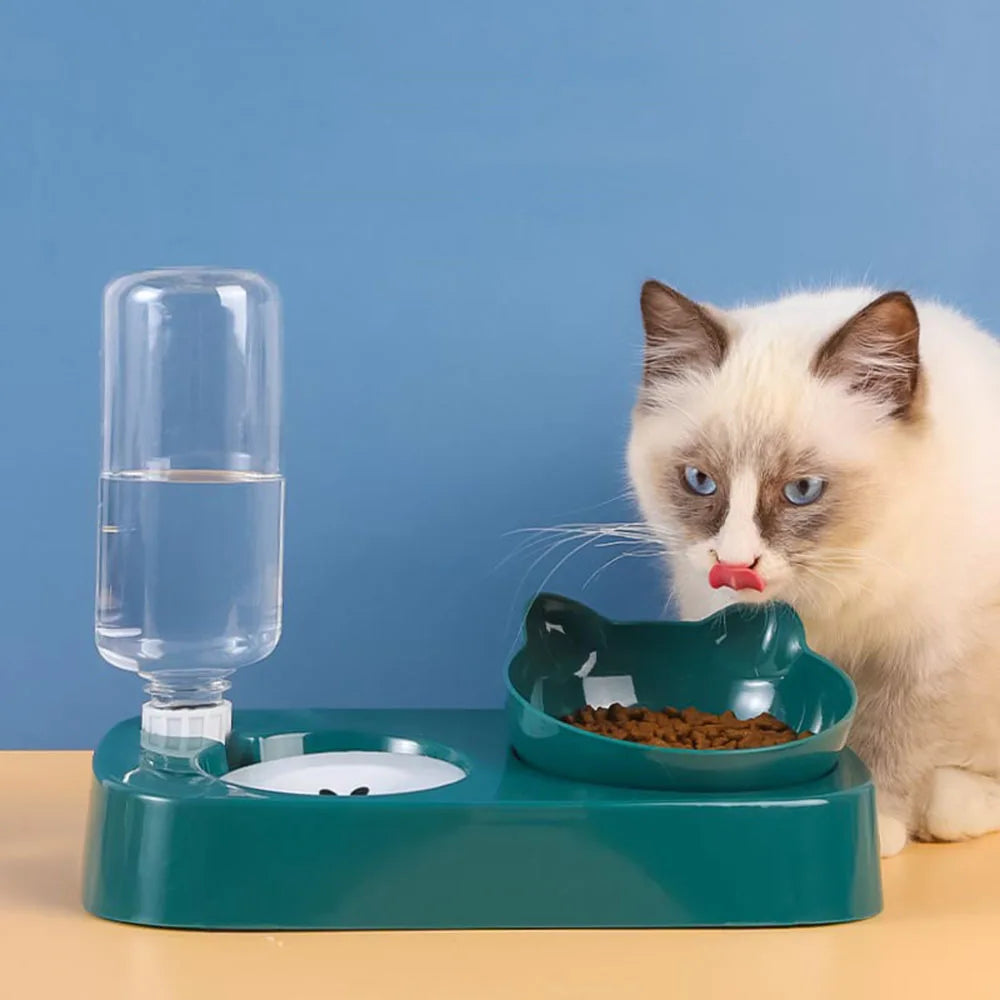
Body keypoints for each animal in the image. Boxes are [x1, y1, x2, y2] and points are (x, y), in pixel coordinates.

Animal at [624, 278, 1000, 856]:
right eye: (699, 481)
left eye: (802, 490)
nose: (735, 563)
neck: (831, 591)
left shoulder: (930, 660)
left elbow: (894, 741)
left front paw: (880, 826)